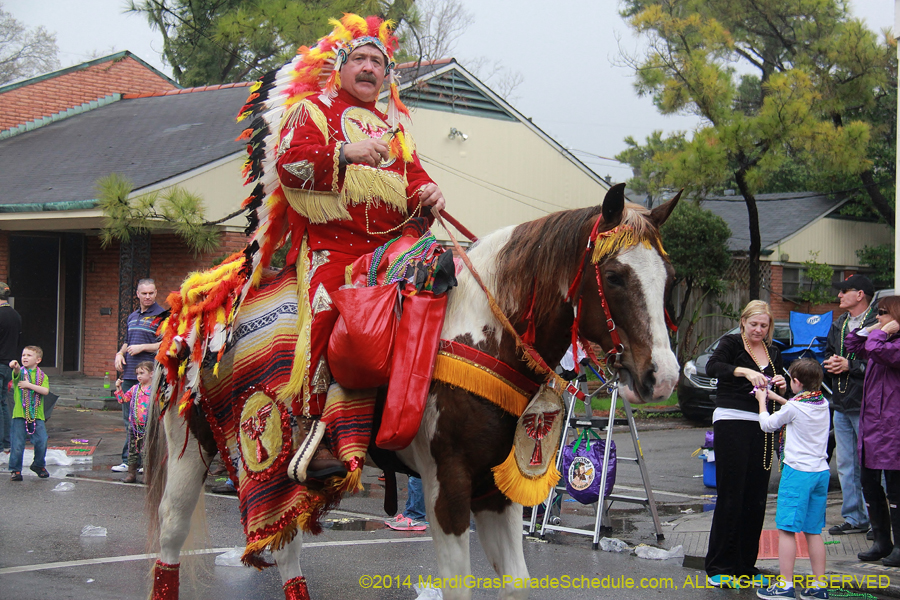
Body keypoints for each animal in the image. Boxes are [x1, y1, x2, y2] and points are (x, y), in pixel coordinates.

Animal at [146, 184, 684, 600]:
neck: (480, 331)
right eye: (613, 276)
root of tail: (201, 307)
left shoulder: (498, 490)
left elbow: (516, 582)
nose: (662, 377)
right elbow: (458, 586)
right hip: (194, 449)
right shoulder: (449, 485)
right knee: (171, 535)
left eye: (670, 278)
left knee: (286, 548)